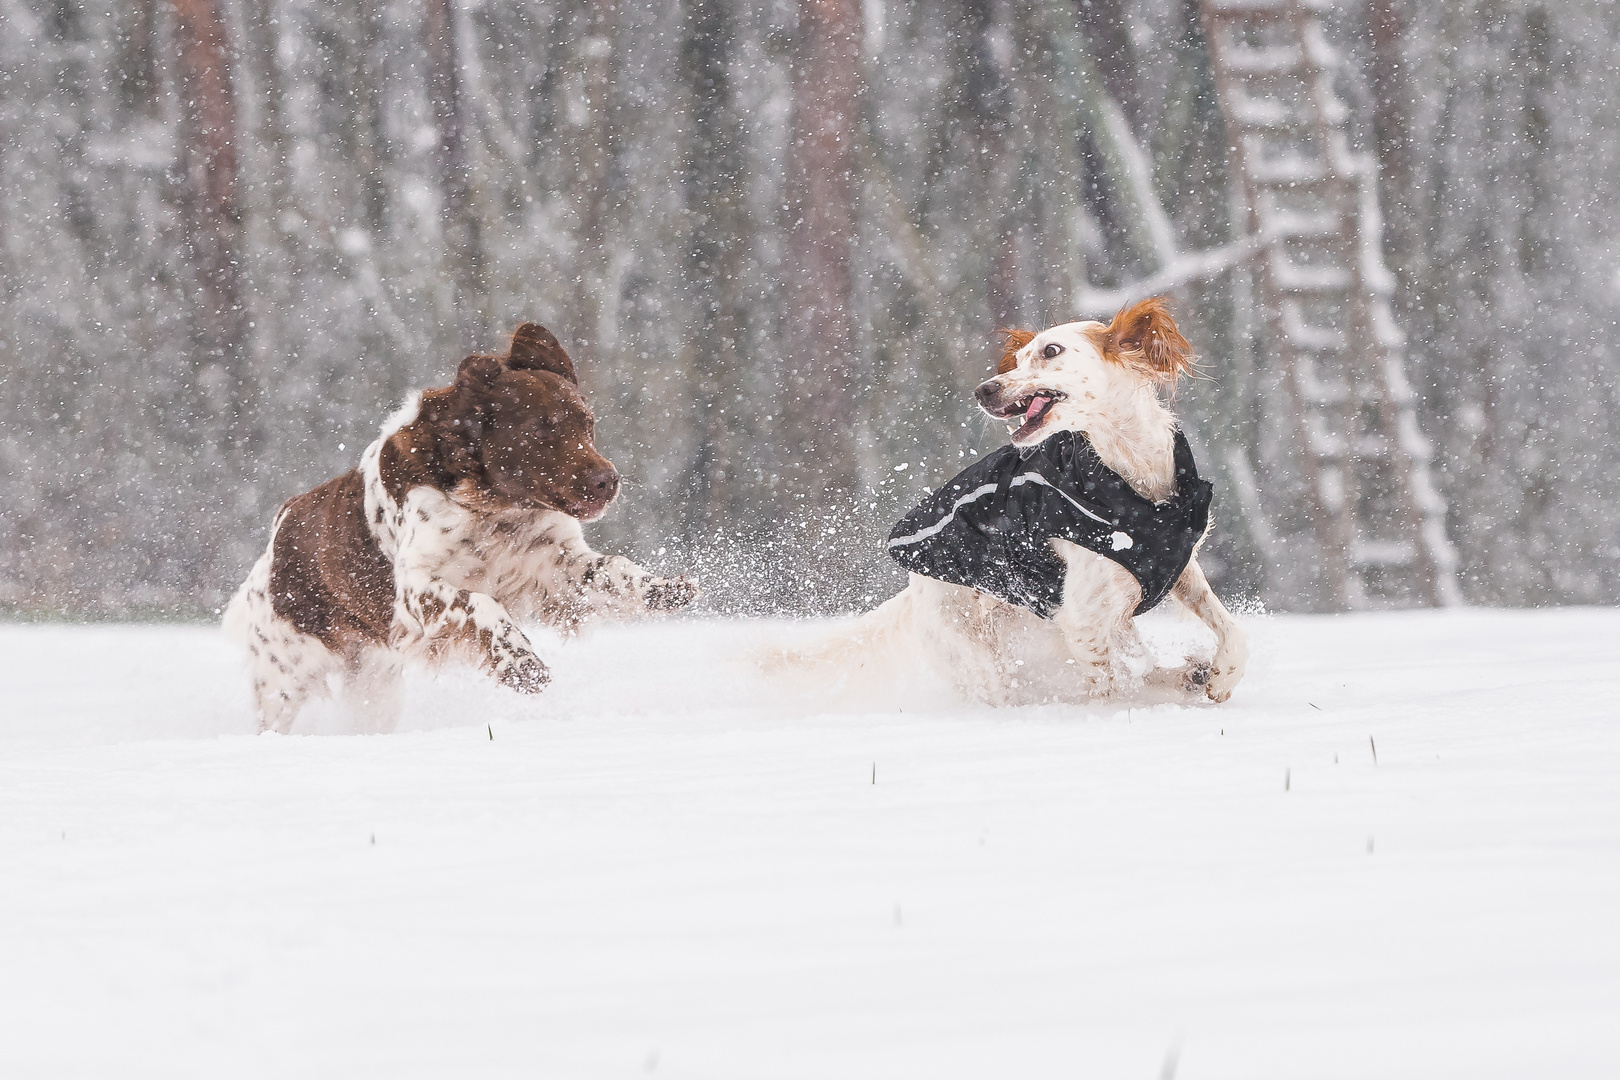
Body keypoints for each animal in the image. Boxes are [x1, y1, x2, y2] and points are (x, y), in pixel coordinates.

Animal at [223, 320, 696, 735]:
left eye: (587, 422)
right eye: (540, 429)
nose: (608, 481)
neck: (494, 503)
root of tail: (275, 537)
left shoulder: (552, 561)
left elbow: (612, 569)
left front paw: (665, 588)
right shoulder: (416, 585)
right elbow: (481, 604)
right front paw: (523, 665)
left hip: (374, 682)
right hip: (284, 675)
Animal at [803, 299, 1244, 705]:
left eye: (1051, 351)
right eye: (1015, 360)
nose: (984, 390)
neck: (1133, 480)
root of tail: (914, 591)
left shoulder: (1177, 570)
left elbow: (1232, 633)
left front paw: (1220, 678)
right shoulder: (1081, 619)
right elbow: (1111, 686)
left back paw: (1190, 676)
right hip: (983, 657)